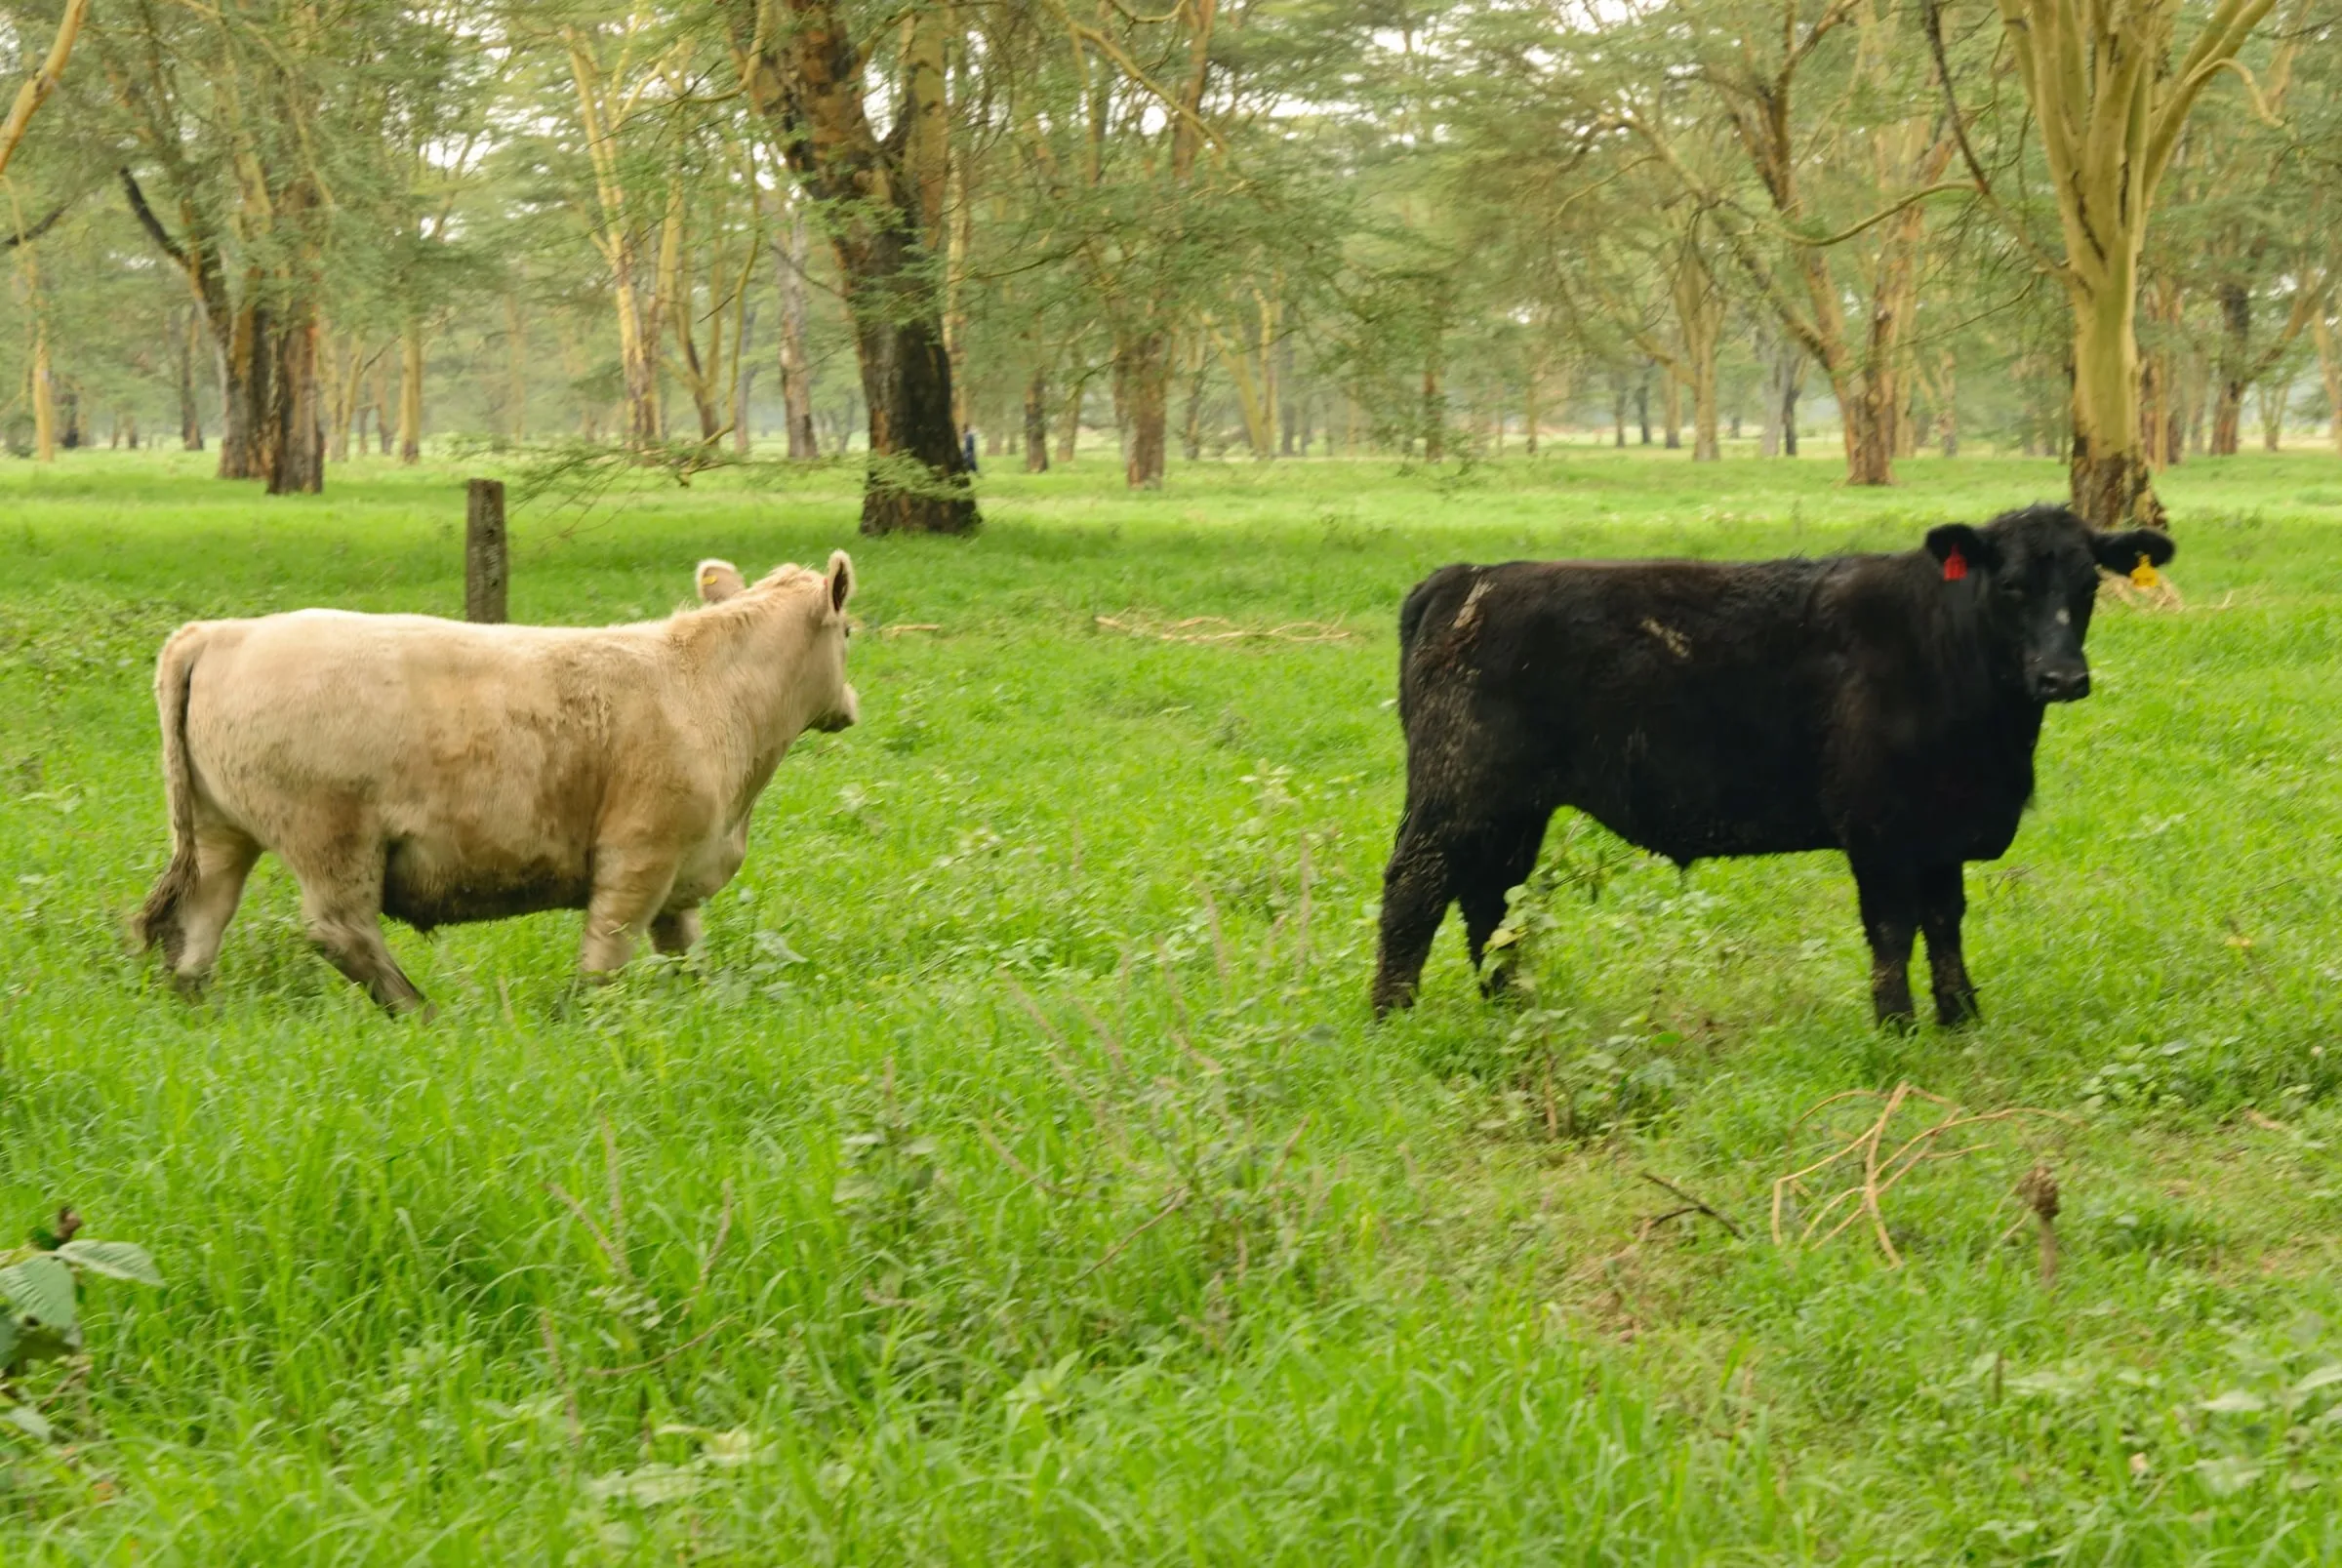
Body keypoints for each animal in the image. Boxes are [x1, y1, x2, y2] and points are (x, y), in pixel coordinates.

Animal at [134, 552, 859, 1015]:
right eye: (849, 631)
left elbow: (684, 951)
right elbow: (606, 953)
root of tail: (222, 632)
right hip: (333, 837)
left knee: (199, 924)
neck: (705, 686)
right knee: (340, 931)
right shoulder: (639, 857)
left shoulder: (678, 875)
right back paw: (425, 1014)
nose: (850, 704)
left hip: (222, 833)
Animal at [1370, 504, 2174, 1027]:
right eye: (2009, 585)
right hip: (1456, 793)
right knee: (1417, 888)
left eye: (2089, 585)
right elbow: (1893, 929)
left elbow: (1946, 922)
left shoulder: (1942, 830)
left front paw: (1961, 1017)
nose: (2063, 677)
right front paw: (1897, 1026)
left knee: (1490, 896)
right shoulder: (1878, 829)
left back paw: (1511, 1006)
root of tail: (1465, 577)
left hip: (1514, 807)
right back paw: (1394, 1016)